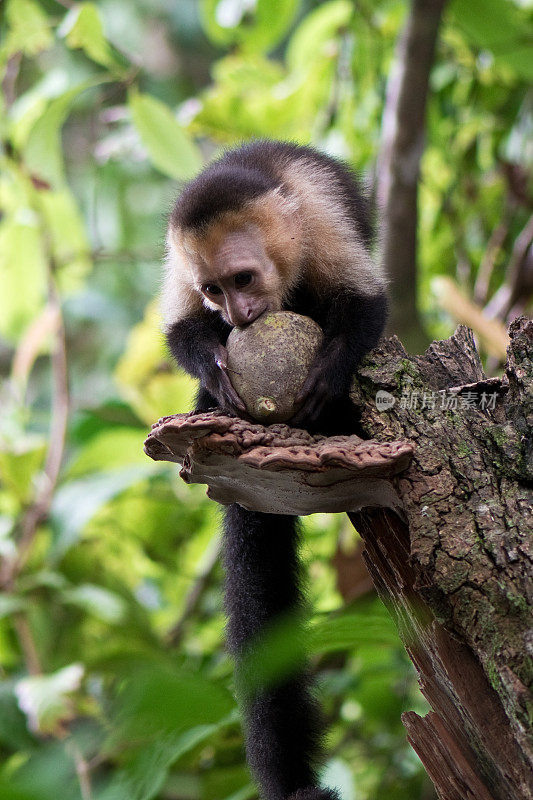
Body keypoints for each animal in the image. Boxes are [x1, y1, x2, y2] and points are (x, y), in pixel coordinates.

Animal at [161, 141, 386, 800]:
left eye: (244, 280)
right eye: (214, 290)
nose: (237, 315)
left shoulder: (321, 219)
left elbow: (365, 303)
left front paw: (328, 372)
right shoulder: (178, 263)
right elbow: (179, 330)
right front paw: (214, 366)